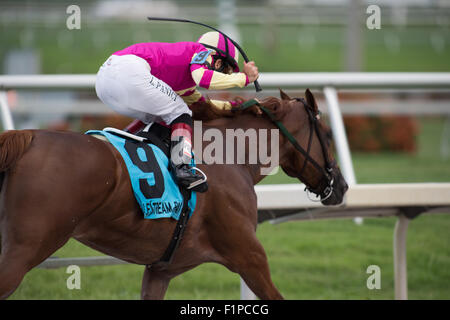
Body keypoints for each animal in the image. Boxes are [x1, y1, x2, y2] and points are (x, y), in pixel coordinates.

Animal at [0, 90, 348, 300]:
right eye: (327, 134)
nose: (342, 186)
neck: (233, 155)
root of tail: (27, 137)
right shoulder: (249, 256)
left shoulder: (161, 269)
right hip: (25, 248)